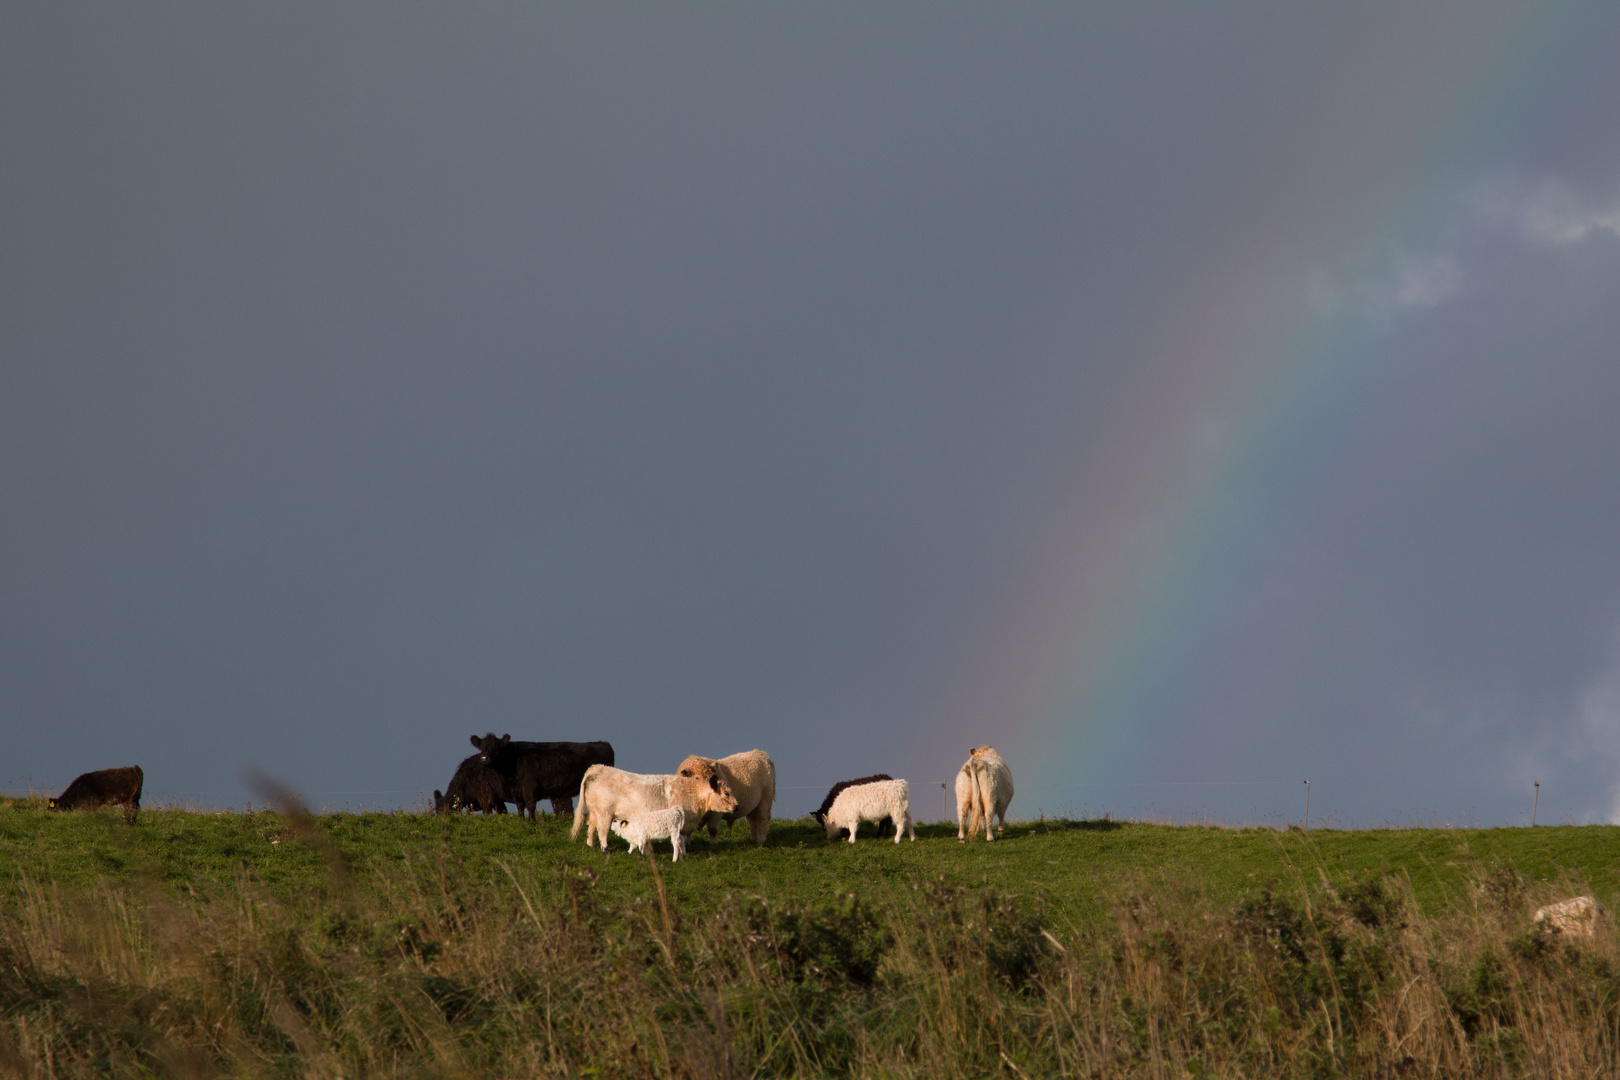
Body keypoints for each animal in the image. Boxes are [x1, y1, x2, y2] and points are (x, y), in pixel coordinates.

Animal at [473, 735, 618, 819]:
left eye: (496, 748)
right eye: (481, 748)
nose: (484, 759)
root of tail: (603, 743)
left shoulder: (529, 785)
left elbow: (530, 804)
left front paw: (531, 821)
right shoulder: (516, 790)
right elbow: (520, 805)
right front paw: (521, 819)